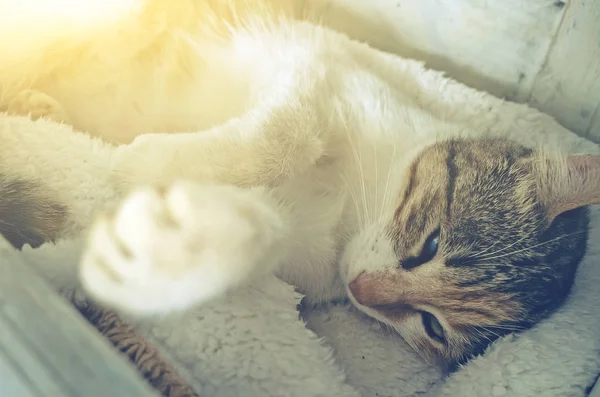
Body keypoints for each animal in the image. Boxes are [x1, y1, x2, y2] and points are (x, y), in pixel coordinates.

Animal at [0, 0, 596, 368]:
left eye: (432, 327)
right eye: (430, 245)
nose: (363, 291)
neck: (350, 211)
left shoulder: (303, 259)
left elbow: (255, 239)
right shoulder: (308, 66)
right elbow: (288, 132)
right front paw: (147, 162)